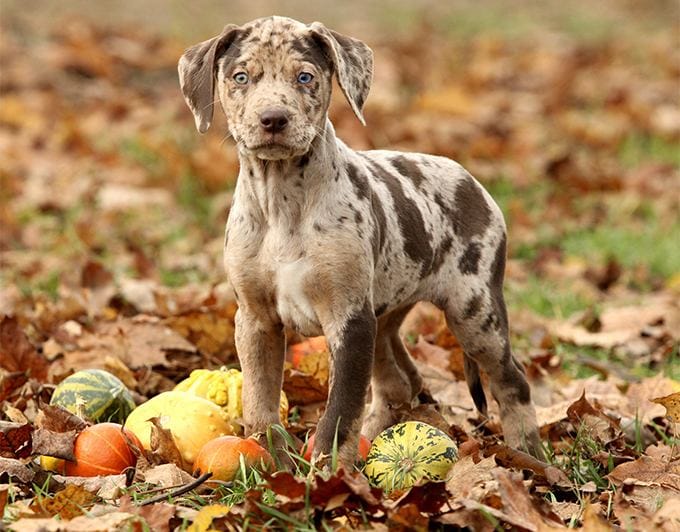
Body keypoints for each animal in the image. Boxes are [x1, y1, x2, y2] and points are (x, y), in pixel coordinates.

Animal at [178, 15, 544, 466]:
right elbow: (259, 404)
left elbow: (339, 412)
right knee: (399, 381)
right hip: (386, 313)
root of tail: (470, 179)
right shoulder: (255, 319)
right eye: (241, 77)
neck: (282, 203)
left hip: (474, 312)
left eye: (305, 77)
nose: (273, 119)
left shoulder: (350, 320)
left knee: (513, 380)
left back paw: (530, 455)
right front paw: (272, 465)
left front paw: (328, 473)